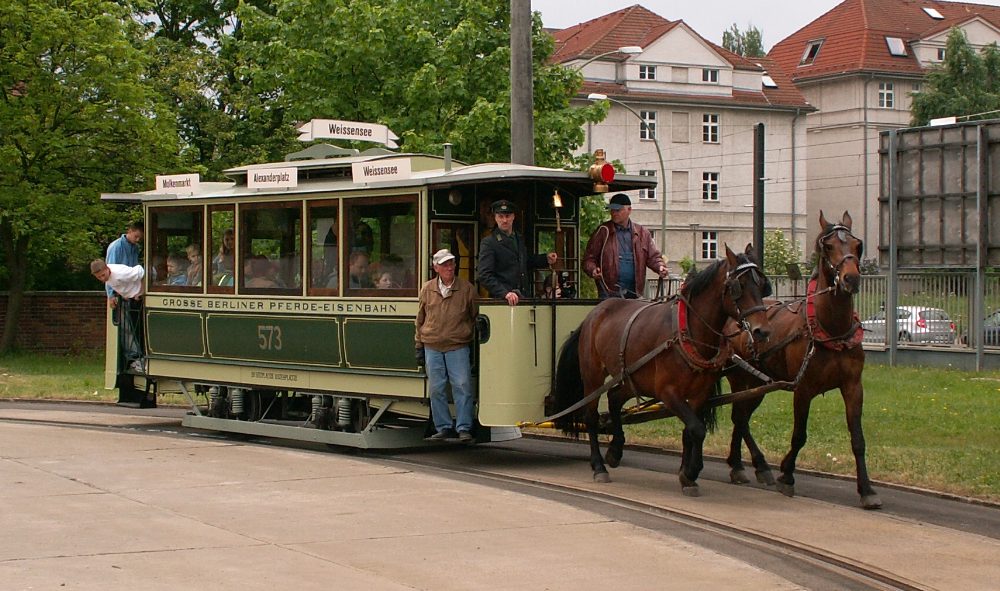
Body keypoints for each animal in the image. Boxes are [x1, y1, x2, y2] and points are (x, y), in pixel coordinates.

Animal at [548, 244, 772, 494]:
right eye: (738, 287)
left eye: (762, 285)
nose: (762, 331)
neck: (688, 331)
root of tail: (595, 313)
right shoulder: (667, 391)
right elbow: (697, 429)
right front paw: (691, 471)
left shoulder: (699, 394)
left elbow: (691, 430)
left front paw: (686, 473)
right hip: (593, 375)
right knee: (591, 416)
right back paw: (599, 466)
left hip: (632, 377)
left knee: (614, 397)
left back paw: (615, 451)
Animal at [724, 210, 880, 512]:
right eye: (828, 246)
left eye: (858, 245)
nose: (851, 279)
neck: (830, 330)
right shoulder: (803, 388)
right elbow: (799, 434)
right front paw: (787, 474)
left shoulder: (853, 387)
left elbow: (858, 439)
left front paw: (867, 489)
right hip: (739, 377)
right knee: (739, 416)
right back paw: (754, 465)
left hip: (758, 383)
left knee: (742, 417)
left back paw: (742, 465)